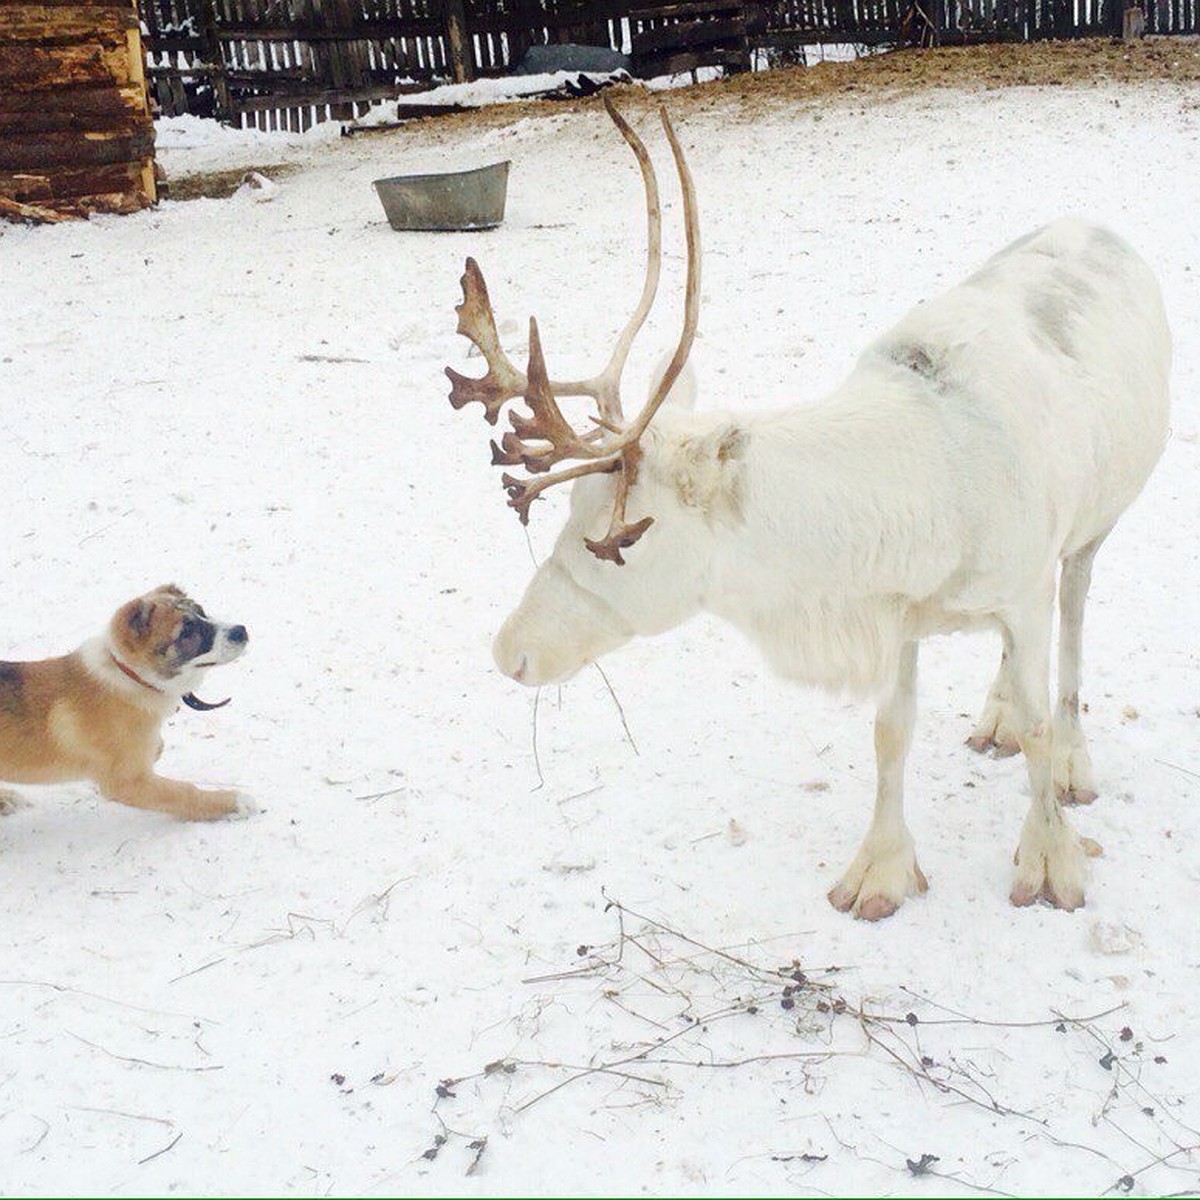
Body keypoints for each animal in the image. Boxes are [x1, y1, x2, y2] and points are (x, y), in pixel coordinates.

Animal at [0, 583, 248, 825]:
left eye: (201, 611)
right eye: (186, 632)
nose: (241, 631)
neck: (129, 675)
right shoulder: (129, 783)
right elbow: (184, 792)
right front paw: (234, 803)